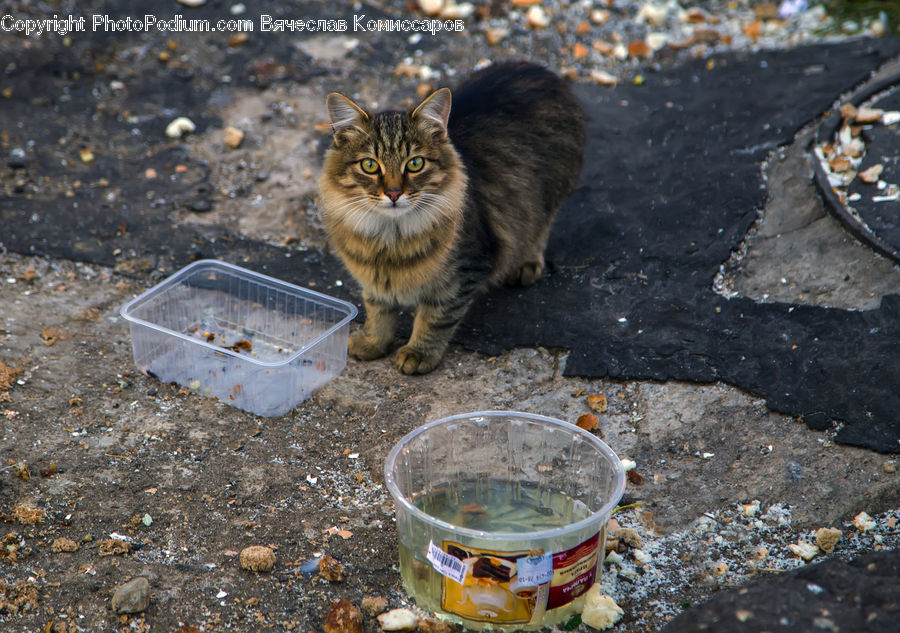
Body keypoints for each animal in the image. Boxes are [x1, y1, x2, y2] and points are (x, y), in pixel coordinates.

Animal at [320, 61, 588, 372]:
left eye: (415, 163)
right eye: (370, 166)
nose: (394, 193)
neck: (390, 235)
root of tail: (538, 68)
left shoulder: (463, 272)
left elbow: (435, 318)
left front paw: (418, 353)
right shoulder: (374, 281)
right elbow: (379, 312)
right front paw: (373, 343)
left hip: (548, 196)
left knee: (540, 229)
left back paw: (526, 264)